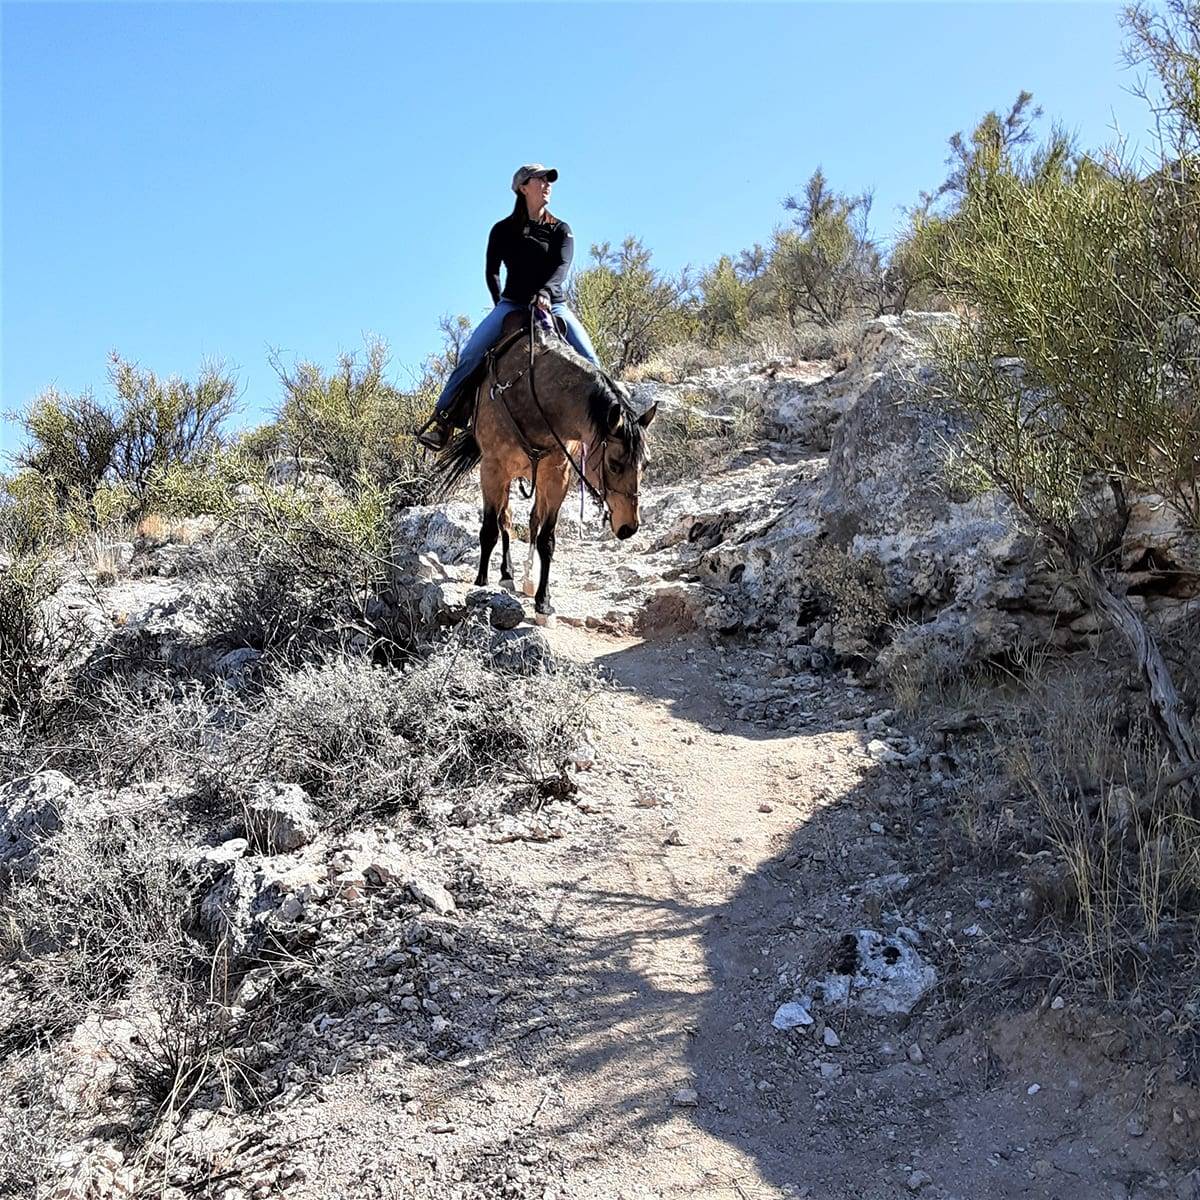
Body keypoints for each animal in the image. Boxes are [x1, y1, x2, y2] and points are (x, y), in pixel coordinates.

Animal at [432, 304, 657, 624]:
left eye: (646, 464)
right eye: (614, 464)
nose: (629, 527)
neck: (534, 394)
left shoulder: (557, 475)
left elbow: (546, 539)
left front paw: (543, 602)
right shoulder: (493, 468)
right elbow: (489, 528)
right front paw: (480, 583)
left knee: (530, 520)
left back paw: (522, 578)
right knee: (504, 520)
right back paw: (506, 574)